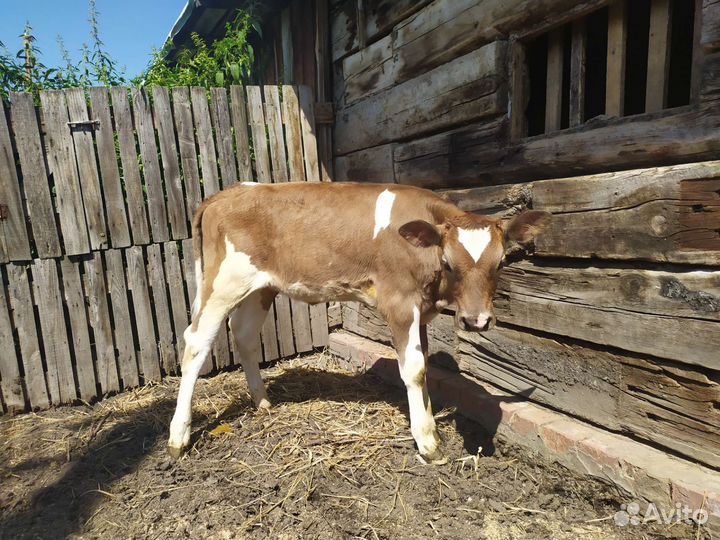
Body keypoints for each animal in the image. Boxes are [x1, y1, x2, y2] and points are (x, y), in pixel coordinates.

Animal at [168, 182, 550, 463]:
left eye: (501, 263)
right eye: (449, 263)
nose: (477, 320)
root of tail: (226, 193)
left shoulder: (420, 310)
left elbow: (424, 364)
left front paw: (430, 424)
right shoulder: (400, 302)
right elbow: (414, 369)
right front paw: (427, 440)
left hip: (259, 287)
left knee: (244, 336)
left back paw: (261, 402)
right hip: (223, 283)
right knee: (196, 341)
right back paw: (178, 435)